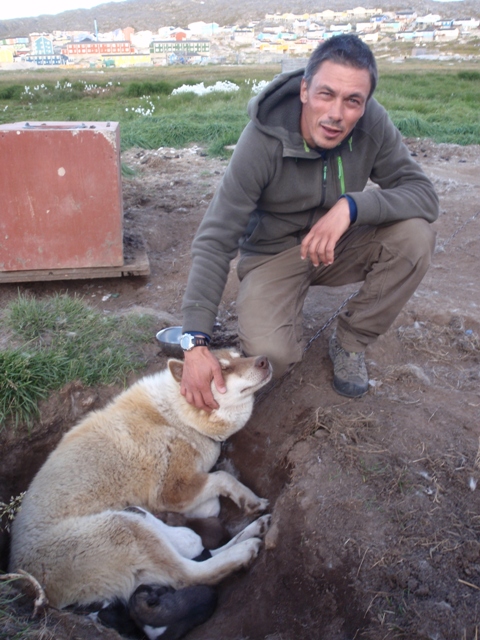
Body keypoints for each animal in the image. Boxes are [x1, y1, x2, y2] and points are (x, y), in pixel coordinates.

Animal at [9, 350, 272, 608]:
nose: (263, 360)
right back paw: (242, 549)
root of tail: (23, 581)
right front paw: (249, 500)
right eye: (223, 369)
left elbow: (211, 500)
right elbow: (222, 477)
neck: (177, 415)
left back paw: (255, 529)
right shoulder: (171, 491)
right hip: (120, 527)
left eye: (241, 355)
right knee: (188, 573)